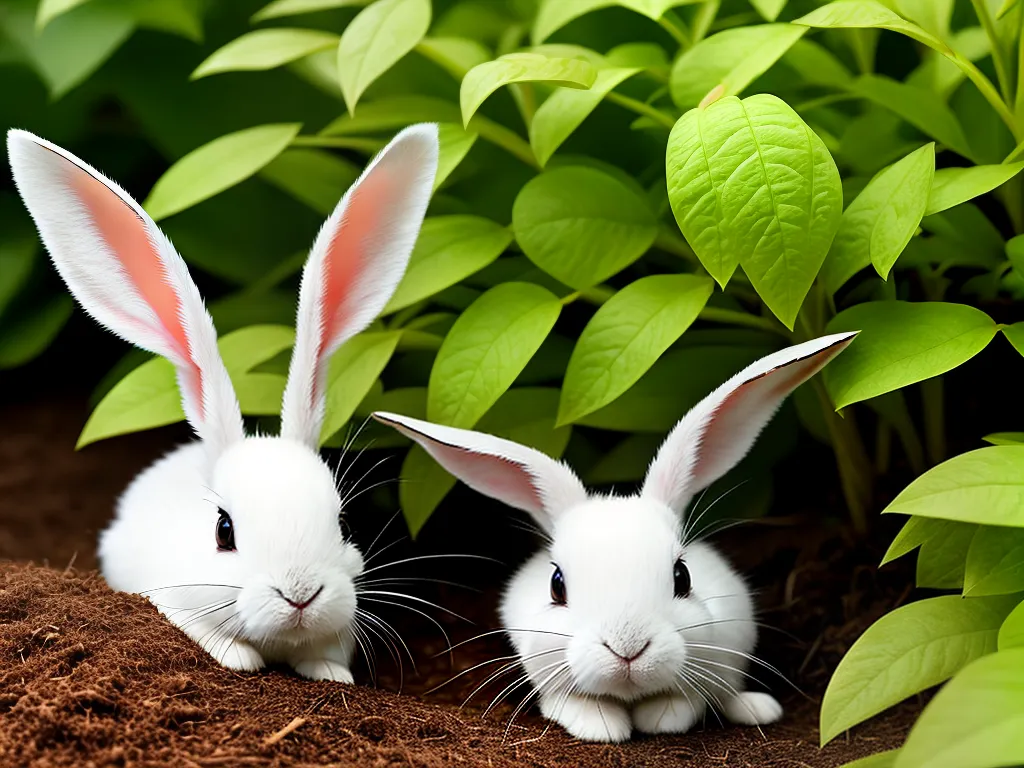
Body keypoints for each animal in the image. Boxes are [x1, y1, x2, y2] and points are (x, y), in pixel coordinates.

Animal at [371, 332, 857, 740]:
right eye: (556, 585)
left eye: (682, 577)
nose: (628, 648)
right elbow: (568, 702)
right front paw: (601, 727)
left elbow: (686, 699)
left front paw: (660, 717)